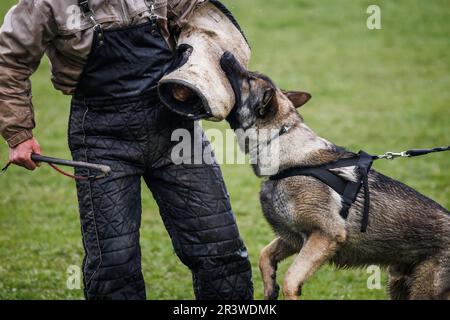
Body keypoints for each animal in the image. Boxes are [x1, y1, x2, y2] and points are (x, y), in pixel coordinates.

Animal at [220, 52, 450, 300]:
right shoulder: (294, 239)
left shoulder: (325, 235)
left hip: (421, 290)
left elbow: (291, 278)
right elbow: (265, 254)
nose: (227, 54)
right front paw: (270, 287)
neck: (283, 145)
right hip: (398, 283)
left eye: (249, 79)